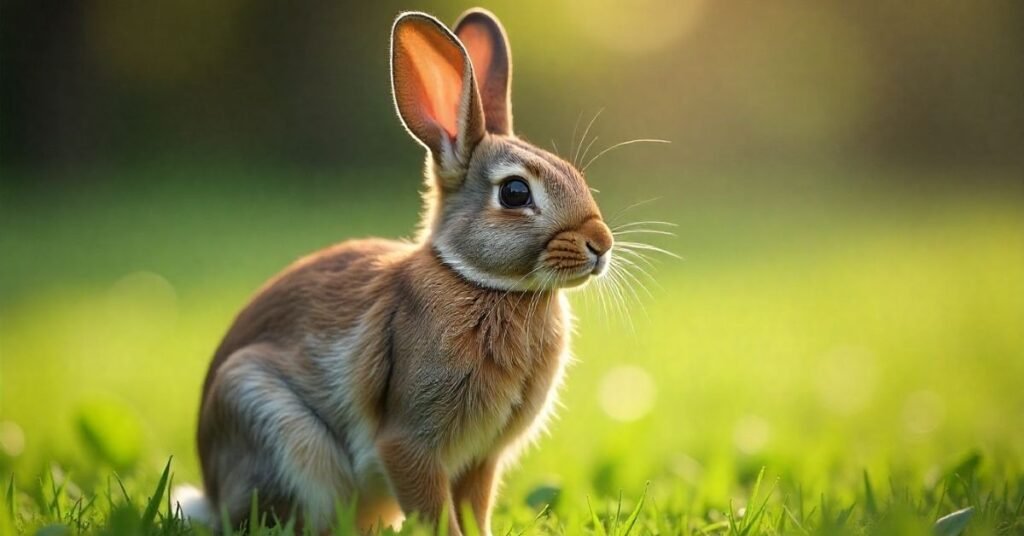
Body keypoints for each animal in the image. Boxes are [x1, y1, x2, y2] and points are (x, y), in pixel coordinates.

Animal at [178, 8, 614, 535]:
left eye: (574, 173)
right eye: (514, 193)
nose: (601, 244)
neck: (476, 279)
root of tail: (212, 494)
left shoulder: (481, 459)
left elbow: (475, 509)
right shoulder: (409, 443)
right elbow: (435, 511)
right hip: (270, 422)